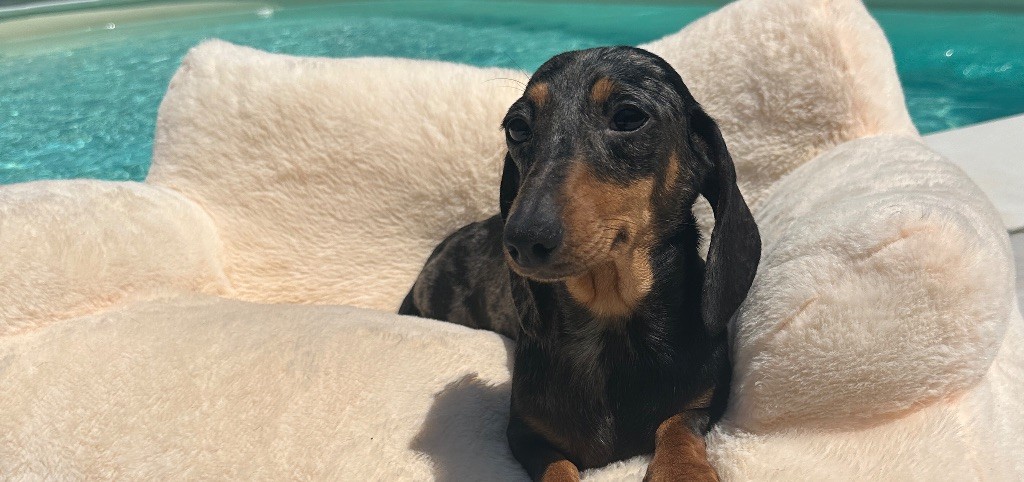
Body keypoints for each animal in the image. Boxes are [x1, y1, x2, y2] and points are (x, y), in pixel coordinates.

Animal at [400, 46, 760, 481]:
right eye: (517, 127)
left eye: (628, 117)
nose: (523, 238)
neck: (609, 315)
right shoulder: (525, 434)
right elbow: (557, 467)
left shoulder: (705, 401)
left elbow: (675, 424)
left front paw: (682, 470)